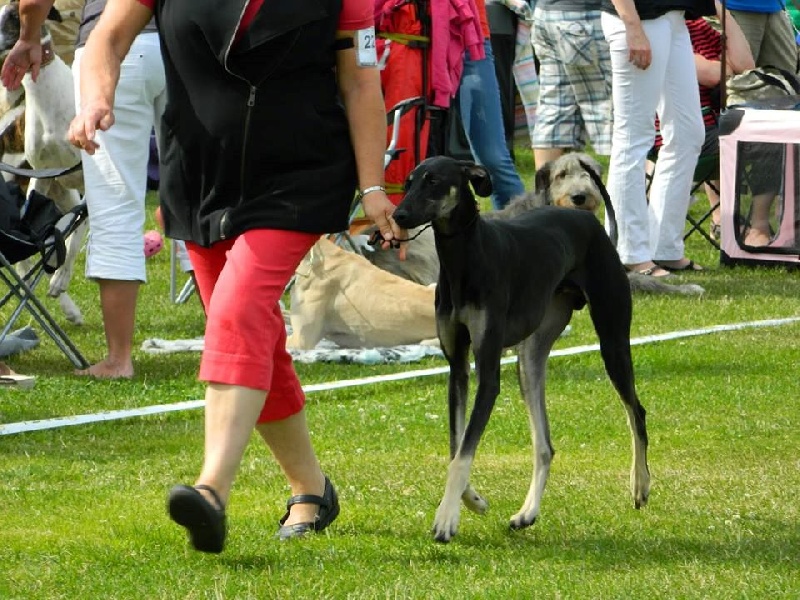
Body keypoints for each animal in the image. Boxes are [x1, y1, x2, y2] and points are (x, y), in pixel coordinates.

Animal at [394, 156, 648, 544]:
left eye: (434, 181)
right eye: (408, 182)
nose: (398, 214)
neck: (466, 257)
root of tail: (591, 222)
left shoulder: (488, 374)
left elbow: (463, 452)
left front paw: (446, 518)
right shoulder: (458, 369)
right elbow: (456, 446)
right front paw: (473, 501)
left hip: (613, 342)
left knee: (636, 412)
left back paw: (640, 485)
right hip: (529, 361)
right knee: (544, 445)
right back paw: (527, 513)